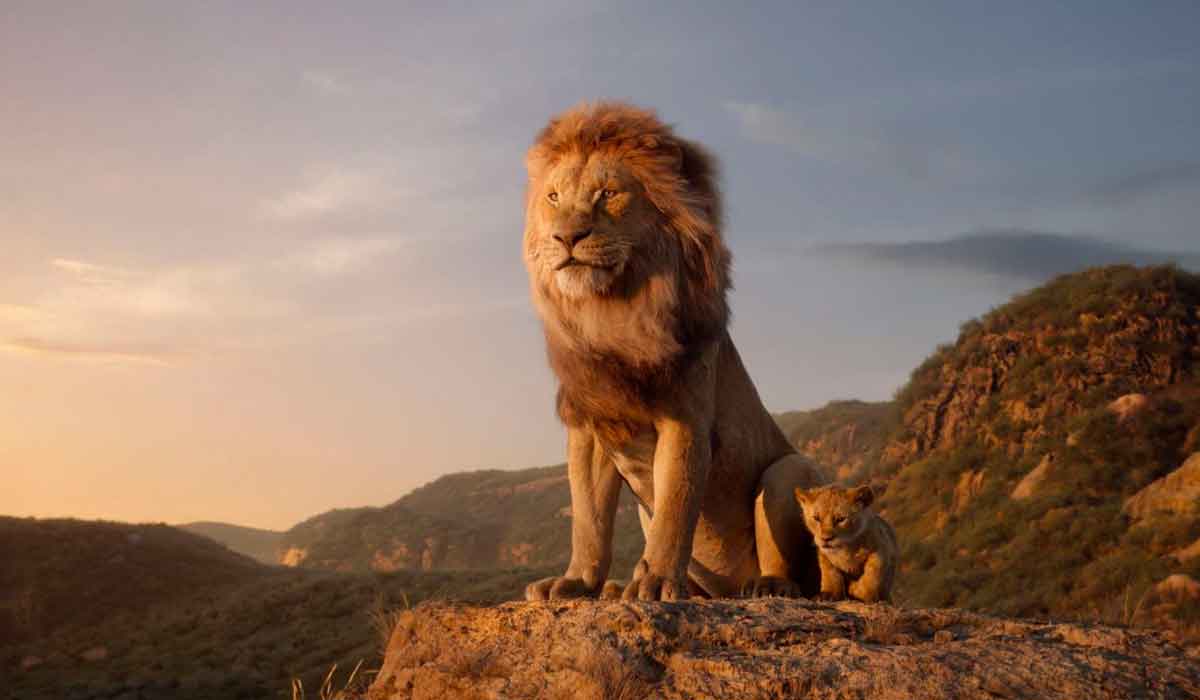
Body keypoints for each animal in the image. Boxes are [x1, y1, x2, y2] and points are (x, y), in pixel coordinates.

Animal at [521, 102, 826, 601]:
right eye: (553, 197)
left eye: (608, 193)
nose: (566, 237)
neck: (611, 312)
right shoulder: (591, 425)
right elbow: (588, 519)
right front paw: (577, 582)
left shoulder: (685, 418)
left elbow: (675, 508)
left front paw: (658, 581)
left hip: (789, 471)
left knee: (795, 569)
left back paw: (767, 586)